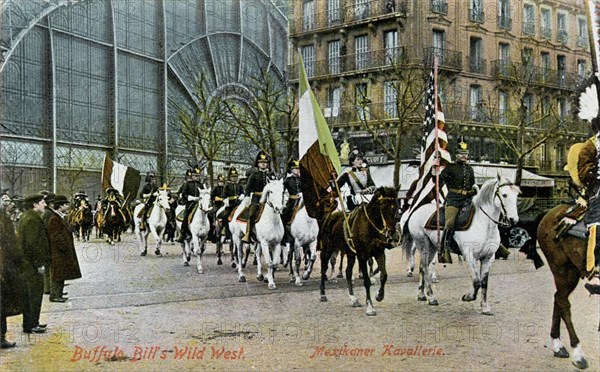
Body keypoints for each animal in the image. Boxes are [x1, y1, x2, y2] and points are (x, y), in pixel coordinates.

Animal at [318, 187, 398, 316]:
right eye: (382, 206)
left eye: (395, 206)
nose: (391, 232)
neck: (370, 226)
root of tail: (329, 217)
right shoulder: (362, 256)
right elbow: (366, 281)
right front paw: (370, 307)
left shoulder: (379, 253)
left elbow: (384, 275)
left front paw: (379, 296)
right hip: (327, 250)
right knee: (323, 269)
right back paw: (322, 294)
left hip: (350, 254)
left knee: (348, 272)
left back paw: (353, 299)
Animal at [404, 175, 520, 314]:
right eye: (504, 195)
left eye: (517, 195)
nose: (514, 220)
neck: (484, 224)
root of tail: (415, 212)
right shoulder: (469, 256)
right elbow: (476, 282)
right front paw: (468, 297)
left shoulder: (488, 258)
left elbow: (484, 283)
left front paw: (485, 307)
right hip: (423, 245)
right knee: (425, 268)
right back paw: (432, 297)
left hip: (432, 247)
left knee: (422, 266)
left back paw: (422, 295)